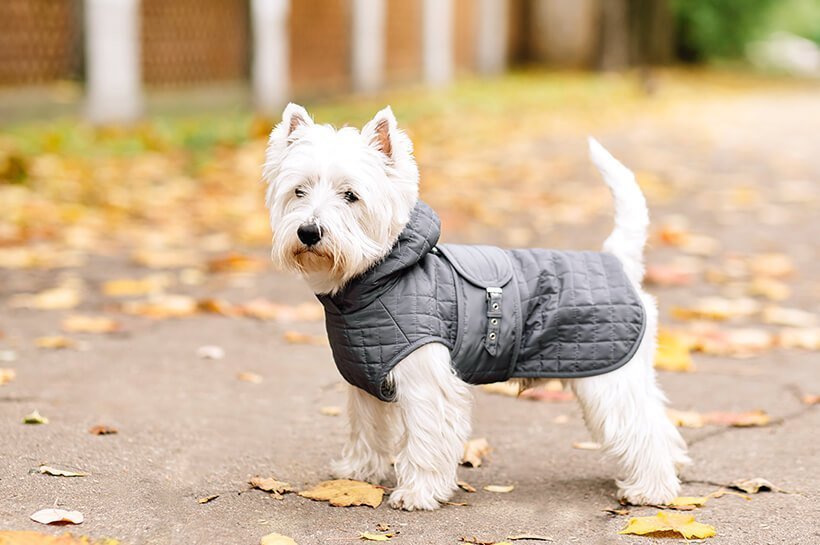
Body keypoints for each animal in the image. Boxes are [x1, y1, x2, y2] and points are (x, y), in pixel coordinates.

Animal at [266, 103, 688, 510]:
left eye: (351, 195)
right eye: (299, 191)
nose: (309, 232)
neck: (376, 277)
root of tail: (618, 261)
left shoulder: (427, 383)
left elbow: (425, 441)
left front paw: (417, 493)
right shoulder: (366, 380)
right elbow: (366, 429)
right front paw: (356, 474)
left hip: (609, 378)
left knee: (643, 429)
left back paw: (651, 489)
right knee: (660, 422)